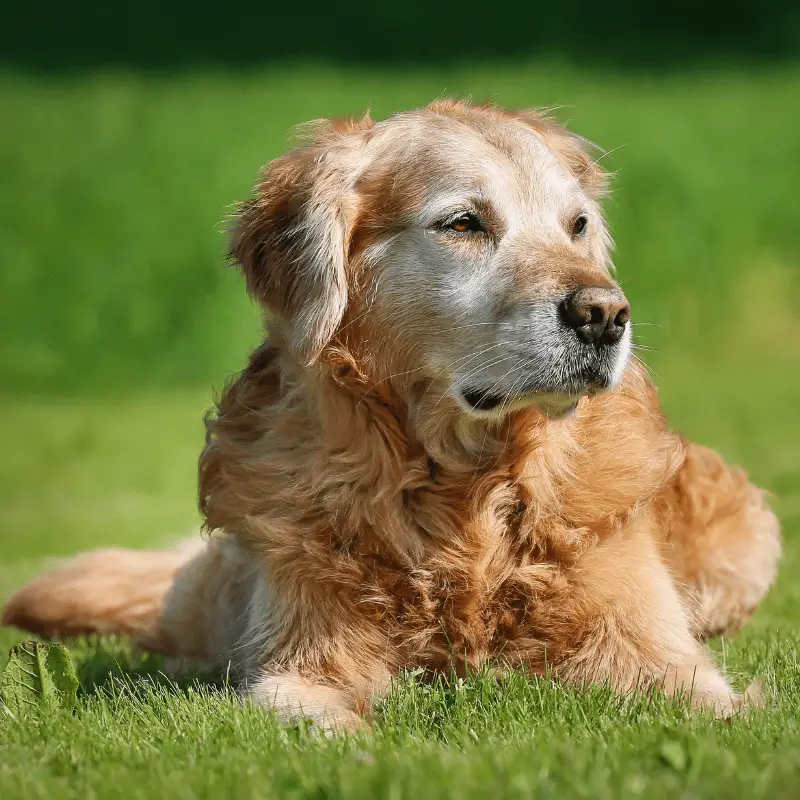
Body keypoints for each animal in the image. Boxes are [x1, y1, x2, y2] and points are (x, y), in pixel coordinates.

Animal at [3, 101, 780, 732]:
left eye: (577, 226)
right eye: (464, 223)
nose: (605, 315)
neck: (461, 490)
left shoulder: (649, 641)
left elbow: (715, 704)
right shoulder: (302, 651)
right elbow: (306, 711)